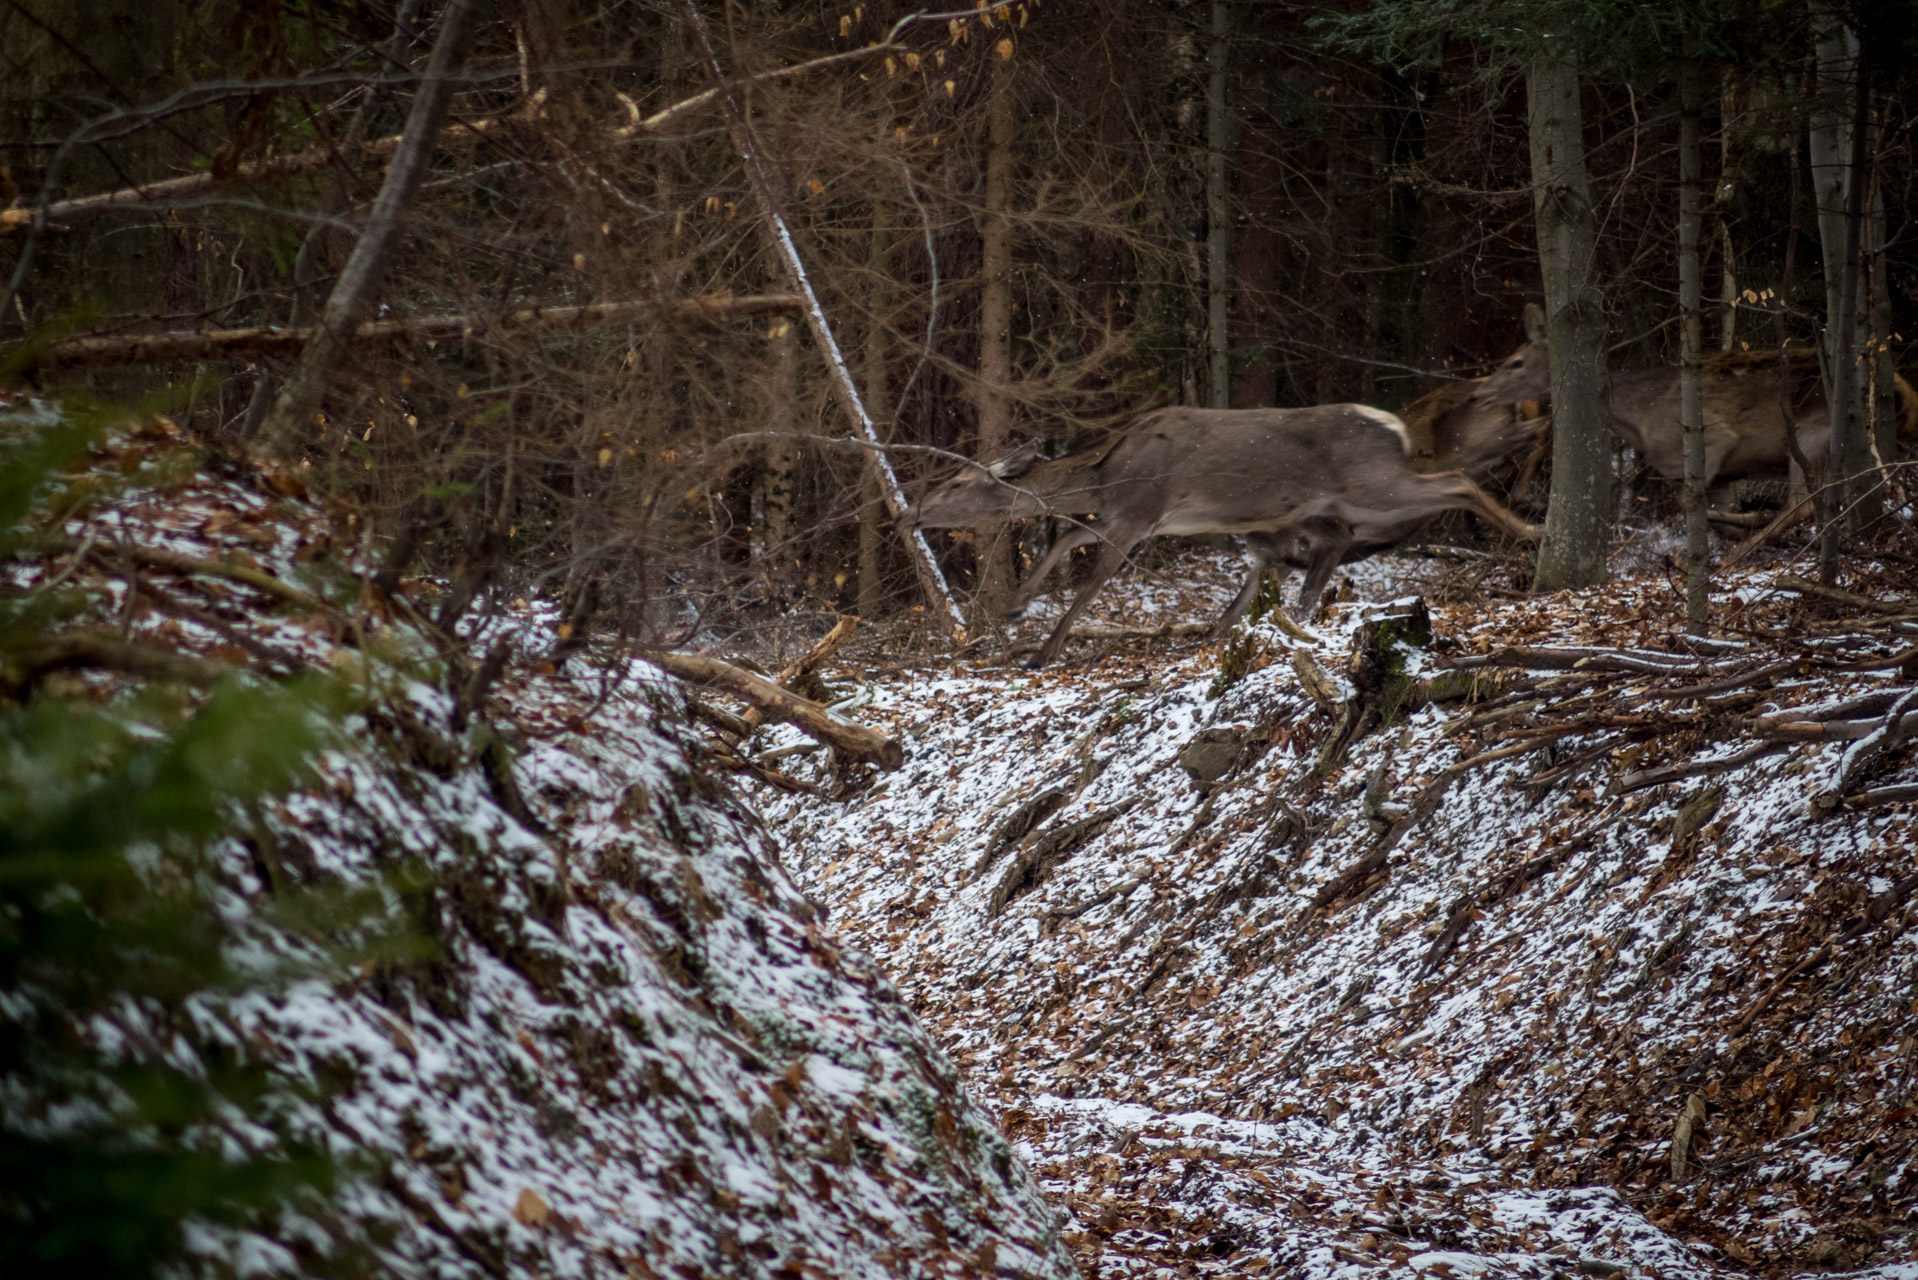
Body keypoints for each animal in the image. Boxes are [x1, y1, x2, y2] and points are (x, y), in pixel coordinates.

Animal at [901, 404, 1542, 671]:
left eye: (954, 481)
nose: (909, 515)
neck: (1107, 475)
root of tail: (1394, 427)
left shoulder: (1140, 512)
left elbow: (1090, 582)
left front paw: (1041, 651)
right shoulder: (1132, 515)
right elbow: (1064, 541)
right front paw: (1015, 609)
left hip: (1372, 483)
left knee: (1456, 479)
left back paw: (1532, 529)